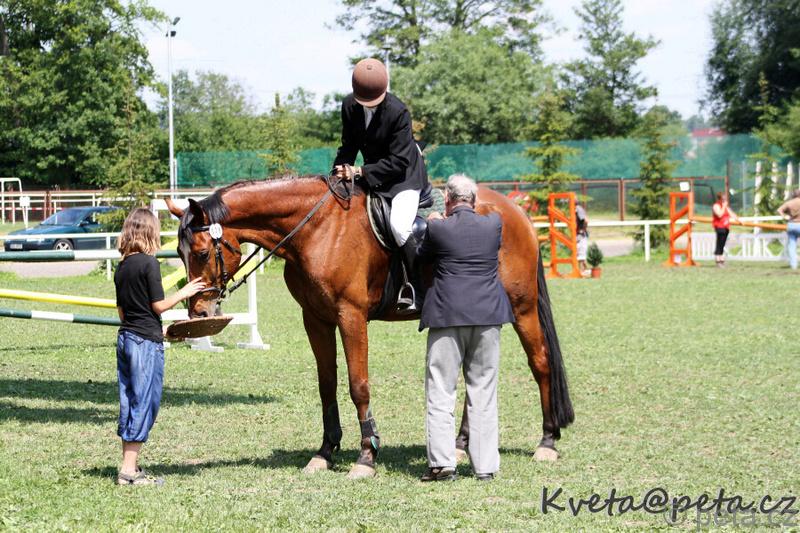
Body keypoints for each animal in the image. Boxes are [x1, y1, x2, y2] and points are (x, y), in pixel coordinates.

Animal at [165, 175, 574, 479]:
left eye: (201, 252)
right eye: (180, 254)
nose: (199, 313)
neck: (317, 229)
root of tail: (514, 211)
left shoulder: (351, 316)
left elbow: (357, 385)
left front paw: (366, 455)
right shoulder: (315, 319)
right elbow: (327, 384)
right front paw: (325, 452)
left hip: (523, 308)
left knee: (540, 363)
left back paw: (547, 442)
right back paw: (461, 444)